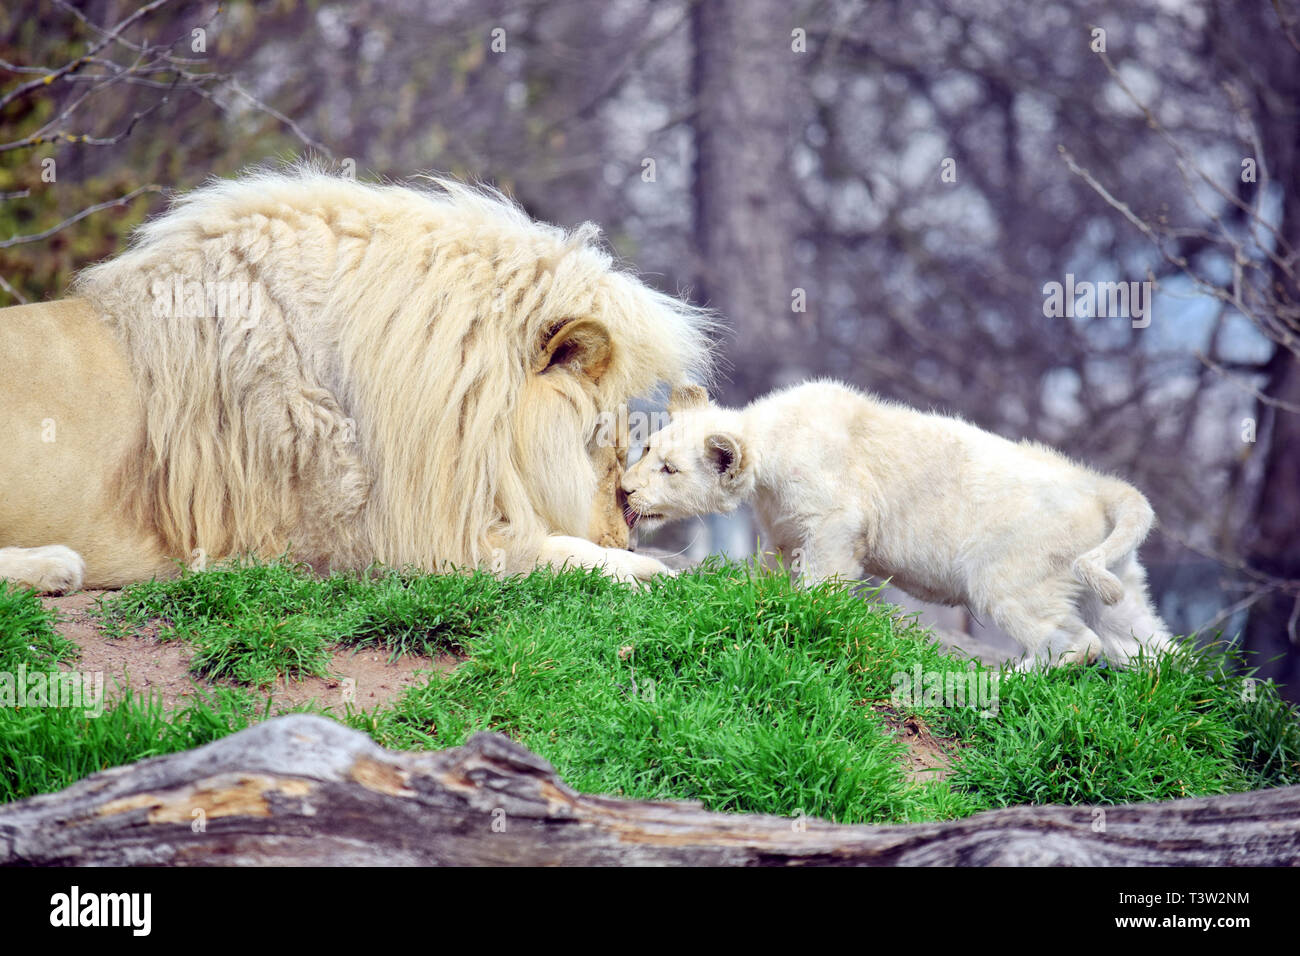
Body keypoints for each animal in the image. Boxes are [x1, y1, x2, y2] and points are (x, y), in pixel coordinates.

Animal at [0, 168, 712, 592]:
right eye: (605, 441)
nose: (625, 526)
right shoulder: (391, 544)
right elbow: (555, 553)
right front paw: (650, 567)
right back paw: (55, 567)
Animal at [621, 381, 1175, 669]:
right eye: (646, 448)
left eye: (669, 469)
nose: (625, 490)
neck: (771, 439)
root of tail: (1101, 488)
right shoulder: (781, 526)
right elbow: (771, 569)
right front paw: (759, 595)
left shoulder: (837, 516)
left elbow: (822, 575)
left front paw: (805, 611)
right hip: (1115, 580)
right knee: (1142, 641)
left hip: (1012, 573)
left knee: (1076, 641)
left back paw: (999, 680)